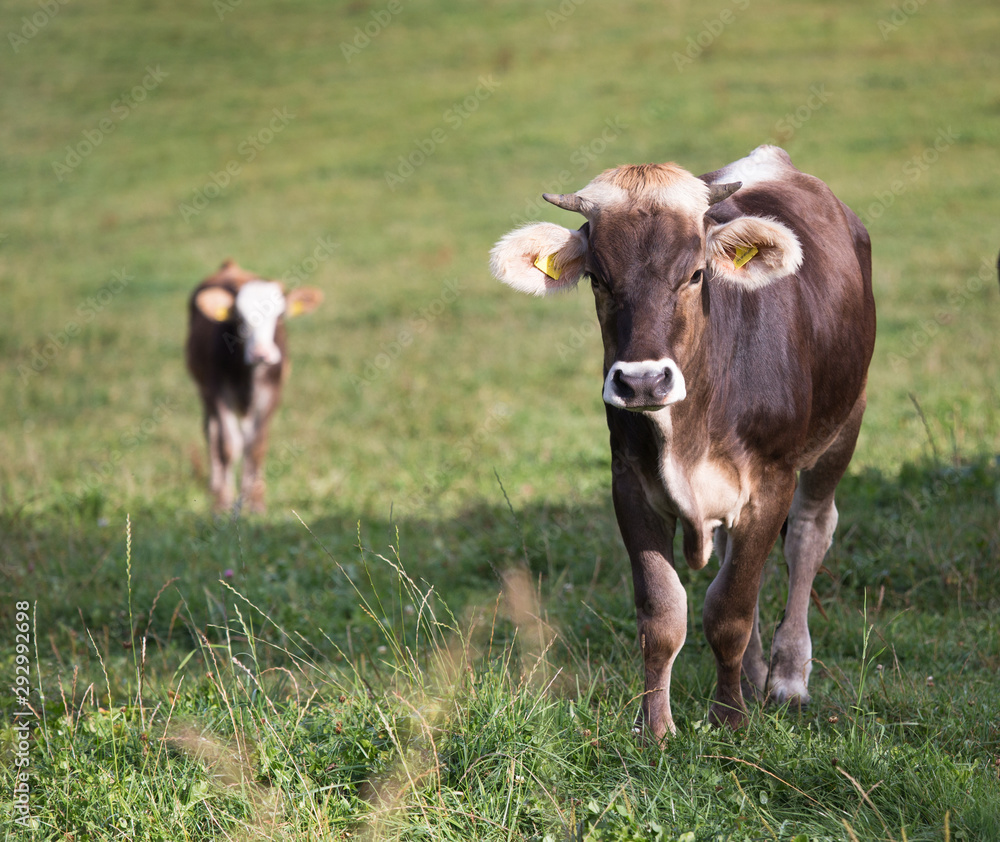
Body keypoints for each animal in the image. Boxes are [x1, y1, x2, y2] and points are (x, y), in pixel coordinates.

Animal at [186, 260, 322, 516]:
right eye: (239, 318)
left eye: (280, 316)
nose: (261, 353)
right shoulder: (218, 389)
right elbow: (228, 445)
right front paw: (223, 503)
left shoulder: (272, 390)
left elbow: (256, 445)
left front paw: (256, 503)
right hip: (203, 389)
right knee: (212, 432)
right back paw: (216, 487)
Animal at [490, 148, 876, 740]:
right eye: (598, 279)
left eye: (695, 274)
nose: (643, 381)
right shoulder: (630, 484)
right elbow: (664, 614)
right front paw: (656, 728)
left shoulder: (771, 480)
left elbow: (730, 610)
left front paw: (730, 720)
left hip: (842, 425)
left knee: (809, 535)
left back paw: (787, 678)